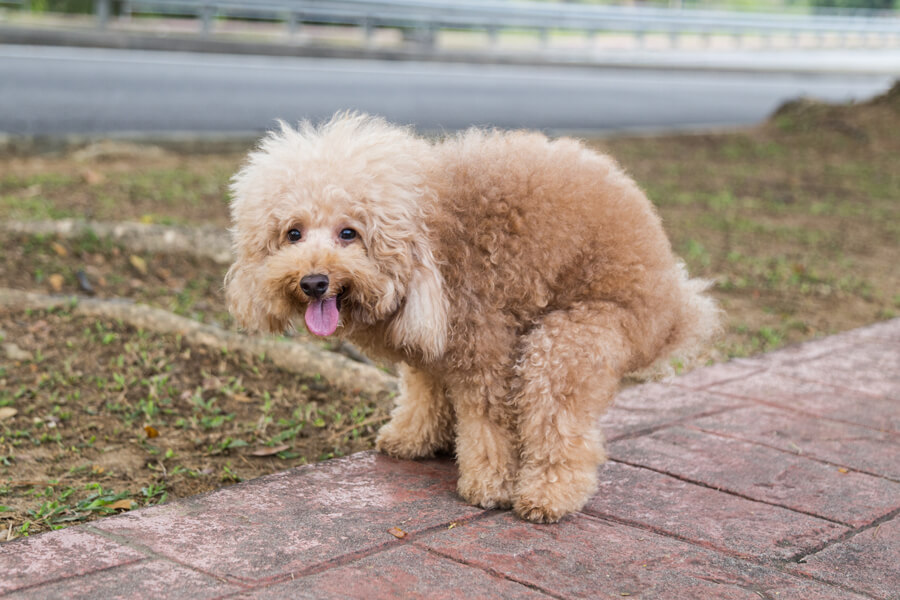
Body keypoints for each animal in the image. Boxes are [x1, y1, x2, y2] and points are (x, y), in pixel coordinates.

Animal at [229, 112, 720, 520]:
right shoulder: (429, 345)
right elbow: (424, 390)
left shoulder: (483, 344)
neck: (430, 231)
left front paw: (489, 485)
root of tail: (676, 307)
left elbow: (488, 422)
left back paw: (547, 495)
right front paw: (413, 438)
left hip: (573, 337)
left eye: (348, 233)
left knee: (557, 419)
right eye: (293, 233)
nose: (314, 282)